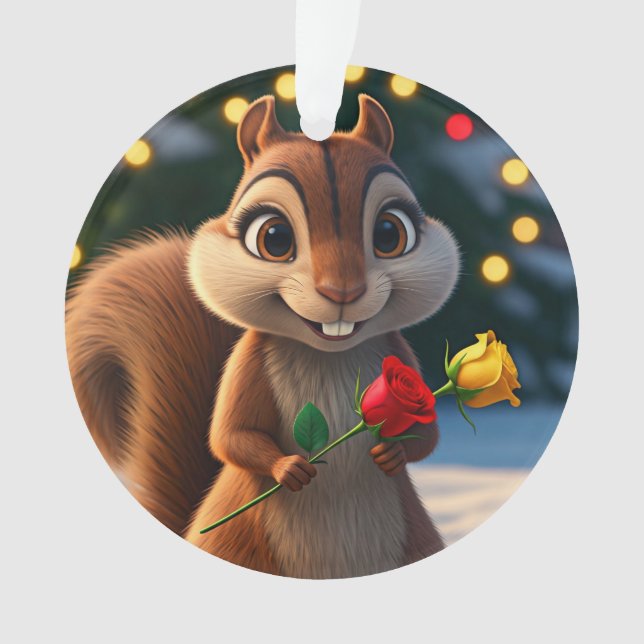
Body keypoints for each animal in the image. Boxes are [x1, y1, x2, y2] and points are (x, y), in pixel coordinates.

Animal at [66, 94, 460, 578]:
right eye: (274, 237)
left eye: (390, 232)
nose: (342, 291)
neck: (327, 353)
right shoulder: (247, 363)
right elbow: (230, 435)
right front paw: (288, 467)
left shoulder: (401, 357)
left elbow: (427, 432)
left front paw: (393, 453)